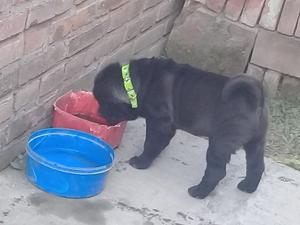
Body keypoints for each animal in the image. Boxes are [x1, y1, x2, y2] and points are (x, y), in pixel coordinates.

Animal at [93, 58, 268, 199]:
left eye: (104, 102)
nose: (99, 112)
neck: (140, 84)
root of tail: (254, 101)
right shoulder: (167, 126)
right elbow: (160, 143)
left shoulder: (159, 122)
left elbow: (151, 143)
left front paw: (141, 161)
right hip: (256, 143)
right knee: (256, 166)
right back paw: (247, 187)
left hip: (221, 142)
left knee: (216, 171)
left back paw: (198, 192)